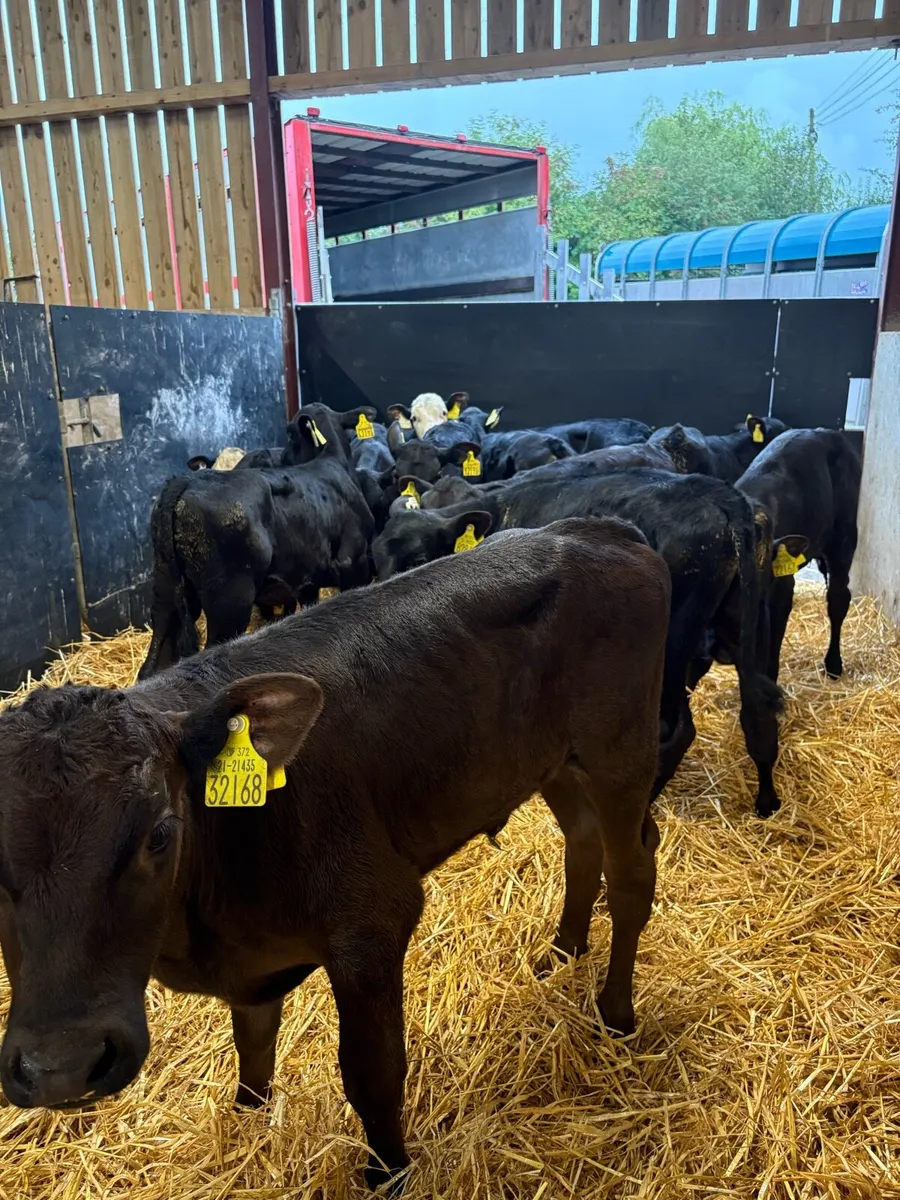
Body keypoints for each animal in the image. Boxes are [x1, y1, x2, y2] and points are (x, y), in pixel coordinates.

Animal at [0, 518, 670, 1195]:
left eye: (161, 832)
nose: (63, 1067)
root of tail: (592, 529)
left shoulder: (371, 923)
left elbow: (372, 1074)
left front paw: (387, 1173)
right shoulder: (252, 963)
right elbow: (253, 1047)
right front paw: (249, 1120)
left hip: (620, 751)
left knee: (632, 873)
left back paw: (615, 1013)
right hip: (551, 760)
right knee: (581, 843)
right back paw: (562, 952)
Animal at [139, 404, 377, 678]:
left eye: (290, 435)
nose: (282, 457)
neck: (333, 463)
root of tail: (186, 480)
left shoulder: (307, 580)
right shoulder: (354, 561)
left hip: (166, 594)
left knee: (153, 663)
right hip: (230, 601)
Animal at [374, 466, 788, 818]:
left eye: (418, 557)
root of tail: (719, 492)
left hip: (671, 644)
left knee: (676, 728)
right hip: (747, 623)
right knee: (758, 713)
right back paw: (767, 801)